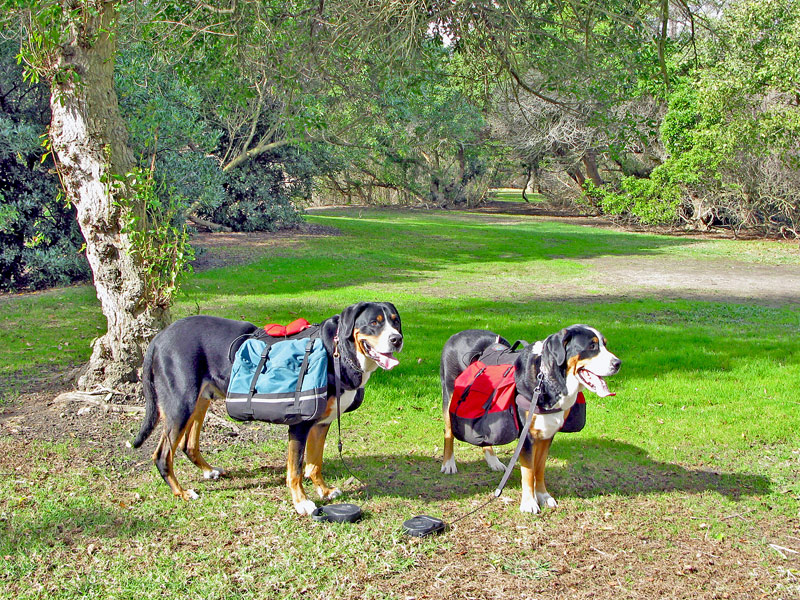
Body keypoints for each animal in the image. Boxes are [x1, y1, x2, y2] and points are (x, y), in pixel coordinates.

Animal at [134, 302, 404, 512]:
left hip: (200, 401)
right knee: (162, 455)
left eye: (395, 322)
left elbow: (314, 464)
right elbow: (296, 469)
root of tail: (160, 337)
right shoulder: (300, 425)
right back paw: (181, 492)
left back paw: (209, 471)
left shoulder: (322, 423)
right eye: (374, 323)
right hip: (181, 403)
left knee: (188, 445)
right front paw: (302, 503)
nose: (397, 339)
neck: (336, 353)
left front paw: (325, 491)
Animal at [440, 326, 620, 512]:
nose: (618, 363)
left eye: (605, 344)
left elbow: (539, 469)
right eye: (592, 346)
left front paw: (543, 496)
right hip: (449, 396)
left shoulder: (547, 435)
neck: (547, 380)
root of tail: (460, 333)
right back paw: (449, 463)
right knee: (448, 432)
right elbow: (528, 471)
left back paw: (493, 461)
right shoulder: (527, 437)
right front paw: (529, 503)